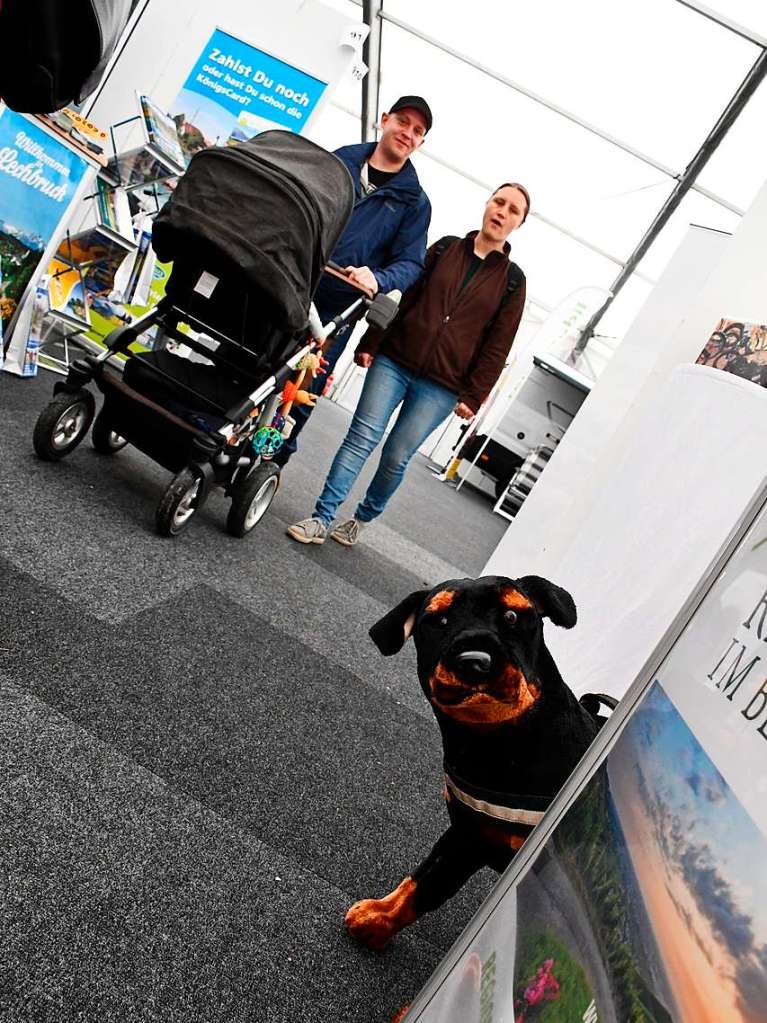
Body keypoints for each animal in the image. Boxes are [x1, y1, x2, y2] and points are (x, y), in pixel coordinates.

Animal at [345, 576, 609, 949]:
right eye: (438, 621)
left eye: (512, 616)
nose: (474, 661)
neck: (496, 750)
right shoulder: (467, 835)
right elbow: (425, 883)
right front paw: (379, 918)